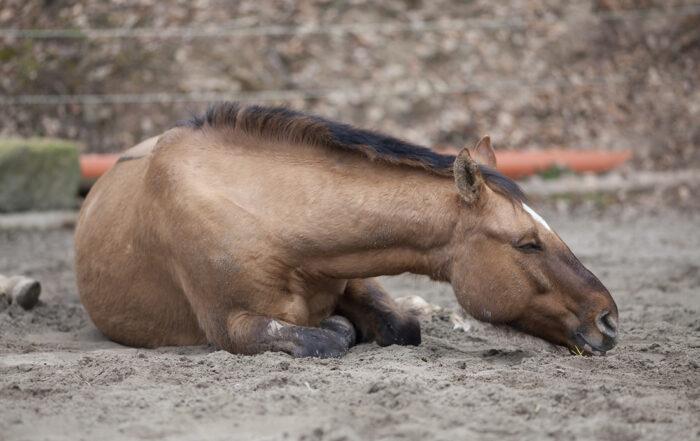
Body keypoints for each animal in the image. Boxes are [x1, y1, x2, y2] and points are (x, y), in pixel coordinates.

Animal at [74, 103, 619, 357]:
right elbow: (328, 337)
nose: (609, 320)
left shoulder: (355, 272)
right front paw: (340, 328)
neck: (270, 217)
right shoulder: (232, 326)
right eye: (527, 243)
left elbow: (402, 326)